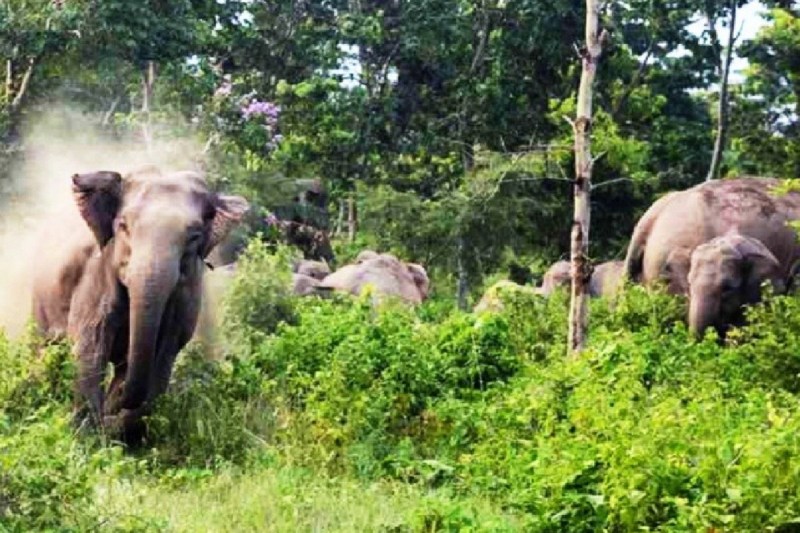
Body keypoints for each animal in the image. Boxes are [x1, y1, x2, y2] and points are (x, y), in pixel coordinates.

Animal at [31, 167, 249, 440]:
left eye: (194, 237)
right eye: (123, 226)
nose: (112, 409)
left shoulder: (187, 294)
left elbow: (165, 352)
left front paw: (114, 426)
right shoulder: (97, 273)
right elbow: (90, 344)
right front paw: (88, 435)